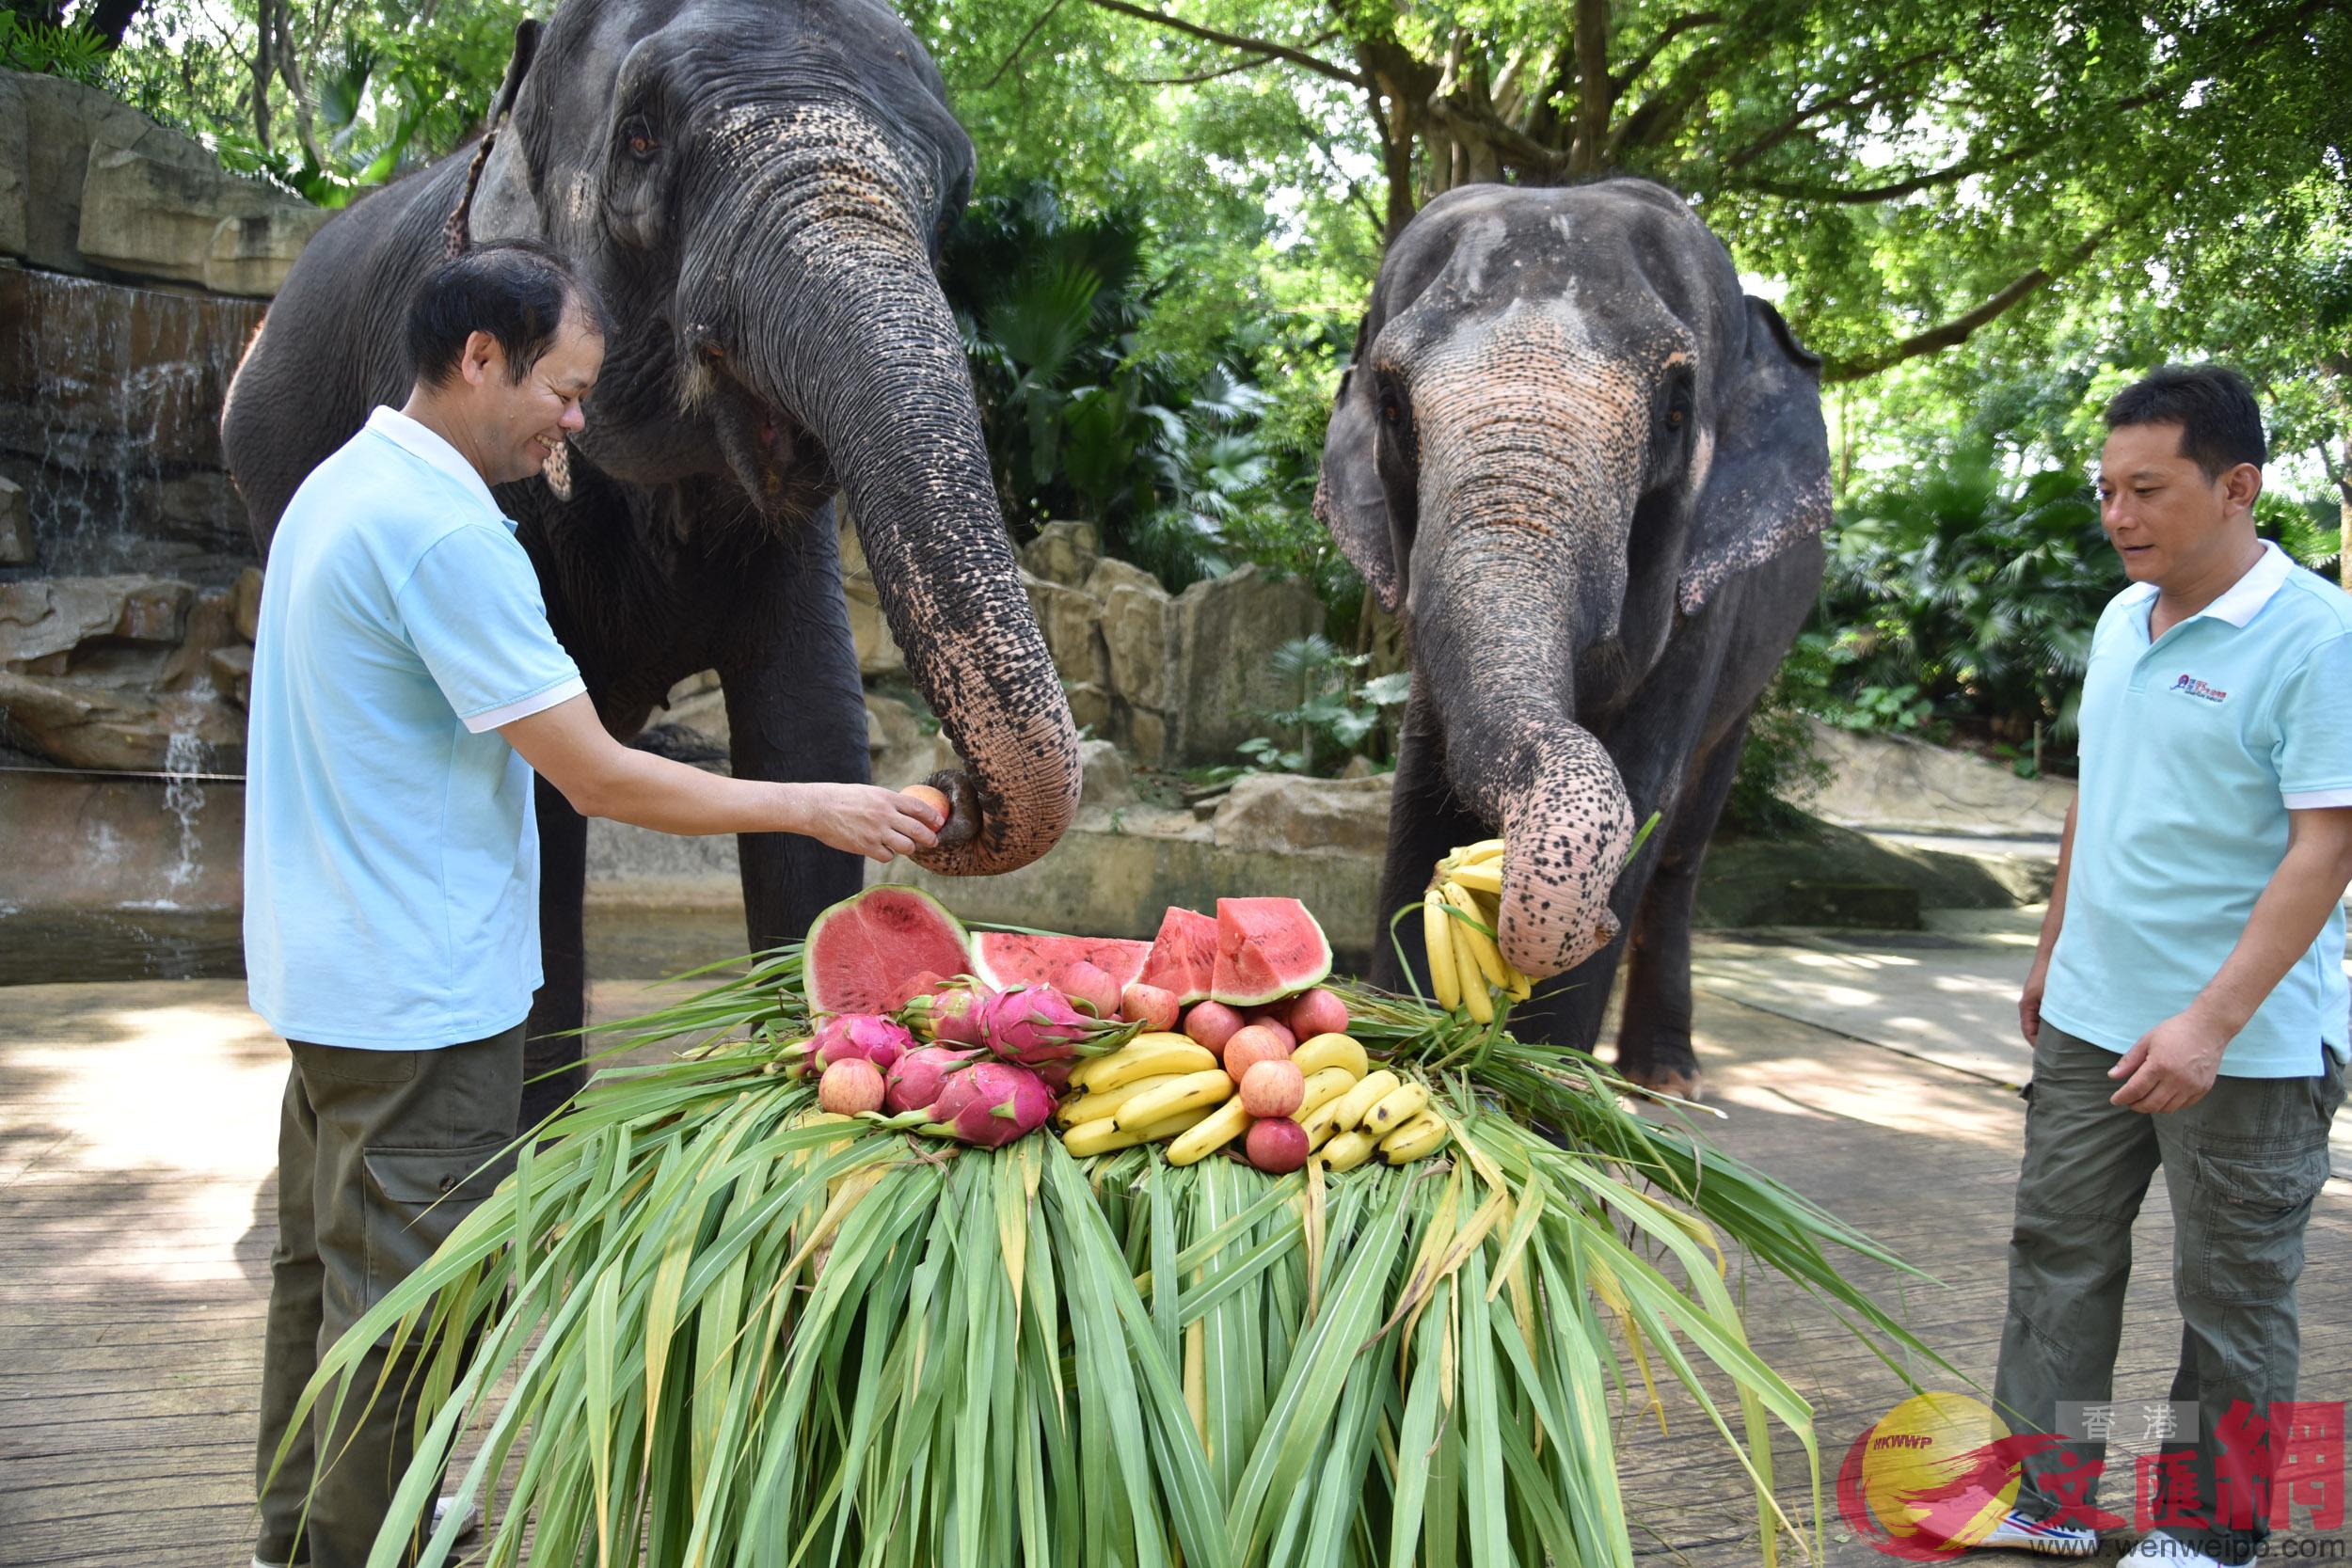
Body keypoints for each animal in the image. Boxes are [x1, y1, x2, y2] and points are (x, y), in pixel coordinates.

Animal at [221, 0, 1082, 1123]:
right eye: (638, 141)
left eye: (959, 190)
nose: (954, 794)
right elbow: (542, 792)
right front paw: (528, 1156)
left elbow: (808, 732)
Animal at [1317, 177, 1825, 1100]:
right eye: (1393, 405)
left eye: (1675, 410)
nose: (1592, 925)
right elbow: (1422, 793)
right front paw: (1404, 1033)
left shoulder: (1708, 604)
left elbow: (1641, 786)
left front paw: (1546, 1092)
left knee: (1683, 851)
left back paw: (1666, 1079)